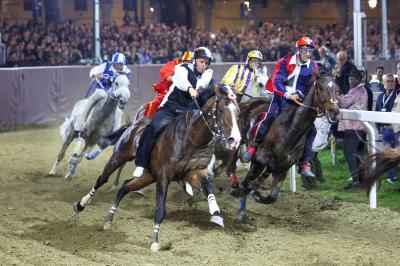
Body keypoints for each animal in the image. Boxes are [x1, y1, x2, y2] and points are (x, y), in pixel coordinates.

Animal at [72, 83, 241, 251]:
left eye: (238, 112)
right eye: (221, 110)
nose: (235, 139)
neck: (192, 138)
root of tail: (134, 125)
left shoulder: (197, 173)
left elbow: (209, 190)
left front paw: (216, 215)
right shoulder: (164, 176)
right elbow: (160, 210)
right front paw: (154, 241)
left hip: (148, 176)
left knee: (125, 186)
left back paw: (109, 220)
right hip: (119, 157)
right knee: (102, 179)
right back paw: (80, 204)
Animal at [230, 74, 340, 218]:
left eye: (337, 89)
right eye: (321, 88)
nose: (334, 112)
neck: (292, 129)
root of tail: (245, 103)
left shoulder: (284, 167)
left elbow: (271, 197)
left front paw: (256, 193)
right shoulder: (261, 155)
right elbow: (265, 168)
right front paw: (250, 189)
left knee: (249, 176)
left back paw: (242, 207)